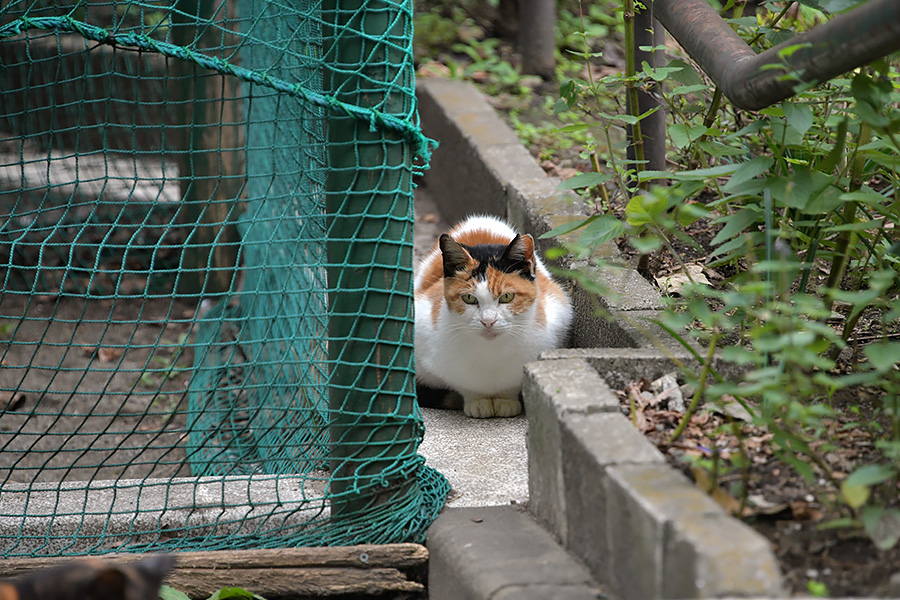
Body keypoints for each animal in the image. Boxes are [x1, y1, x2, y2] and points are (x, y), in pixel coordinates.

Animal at [416, 214, 572, 418]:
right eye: (469, 298)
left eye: (507, 297)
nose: (488, 321)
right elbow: (464, 384)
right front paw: (478, 401)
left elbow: (511, 384)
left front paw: (506, 401)